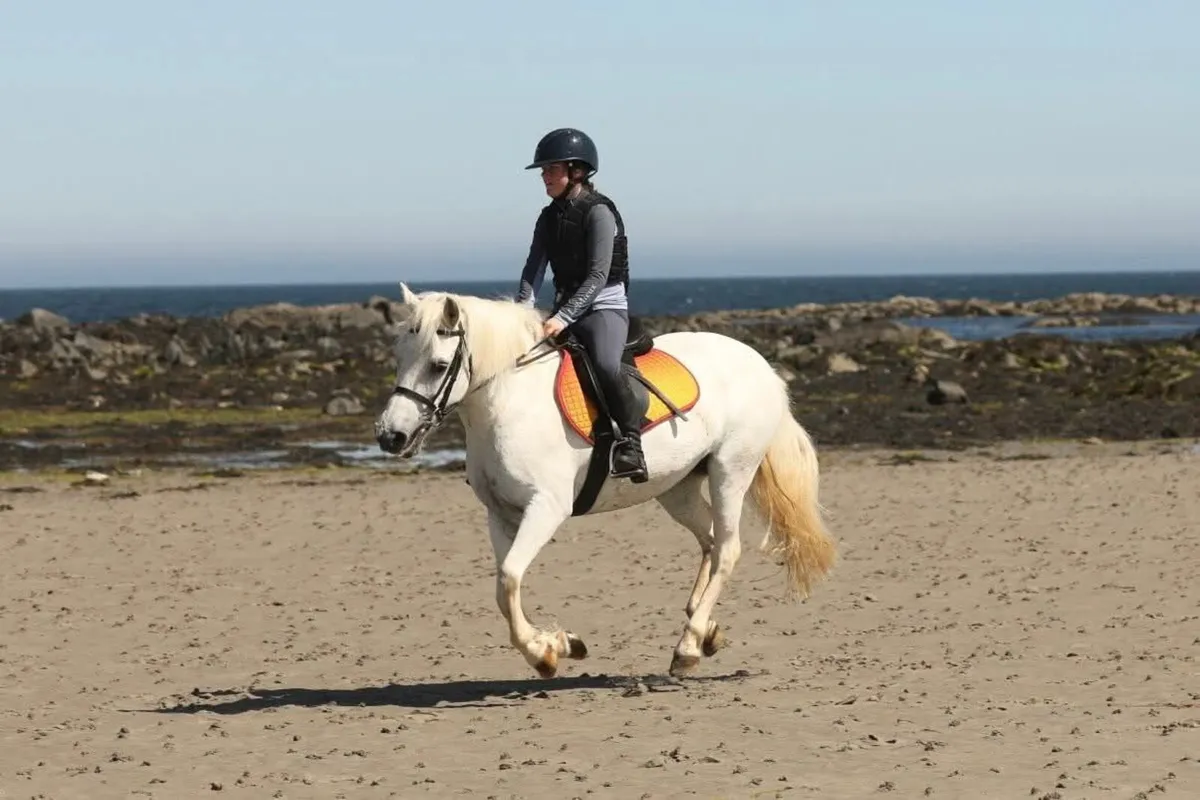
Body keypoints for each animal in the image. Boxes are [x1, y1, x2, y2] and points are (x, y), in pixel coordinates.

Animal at [373, 283, 837, 679]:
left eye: (437, 366)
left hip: (730, 470)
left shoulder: (546, 508)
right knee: (707, 540)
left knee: (726, 549)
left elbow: (508, 579)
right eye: (398, 357)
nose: (390, 435)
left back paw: (688, 646)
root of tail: (759, 364)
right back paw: (704, 629)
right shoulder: (501, 515)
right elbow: (506, 588)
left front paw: (544, 653)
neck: (510, 401)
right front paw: (557, 645)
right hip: (678, 487)